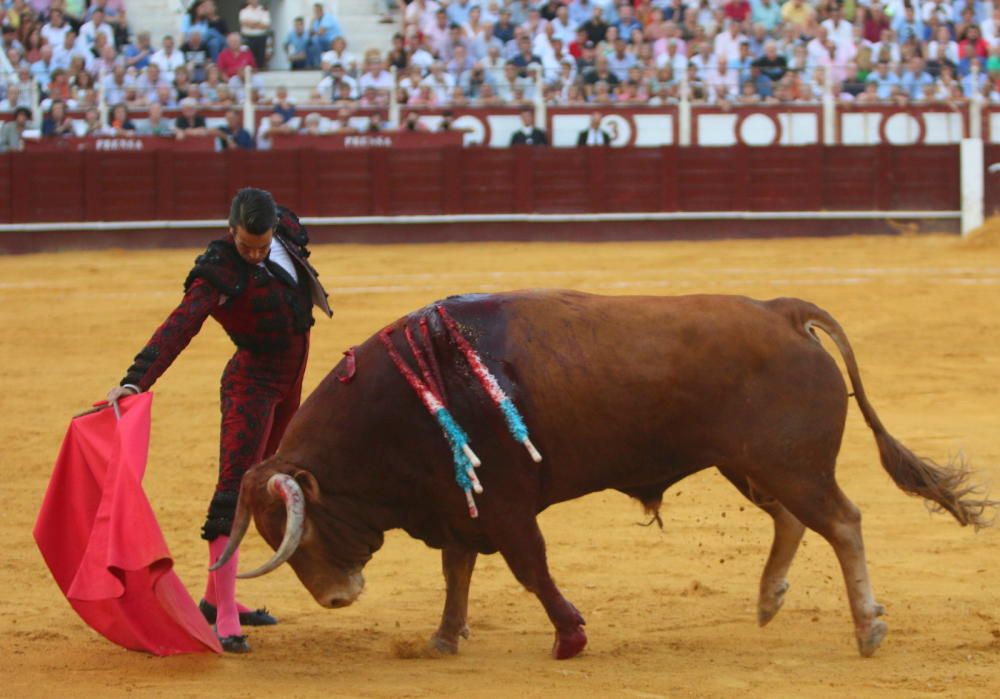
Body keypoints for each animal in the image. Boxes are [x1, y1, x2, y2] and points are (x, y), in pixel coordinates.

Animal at [211, 292, 992, 660]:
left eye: (299, 530)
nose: (336, 598)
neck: (399, 400)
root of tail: (780, 312)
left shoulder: (503, 505)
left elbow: (530, 569)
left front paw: (570, 636)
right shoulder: (459, 505)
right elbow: (458, 572)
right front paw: (442, 638)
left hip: (786, 463)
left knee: (841, 521)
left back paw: (868, 628)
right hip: (750, 463)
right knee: (793, 519)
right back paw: (771, 599)